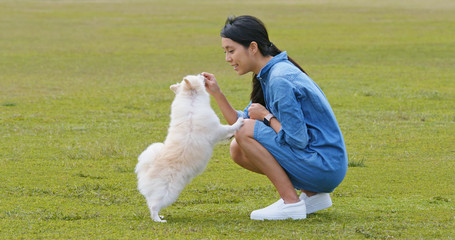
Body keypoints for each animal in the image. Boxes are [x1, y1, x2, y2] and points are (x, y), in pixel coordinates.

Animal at [134, 74, 242, 222]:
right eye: (197, 76)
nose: (203, 74)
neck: (191, 101)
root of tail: (147, 169)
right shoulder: (217, 129)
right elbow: (229, 127)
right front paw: (240, 121)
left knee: (151, 204)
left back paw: (159, 216)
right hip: (169, 192)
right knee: (154, 206)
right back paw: (159, 219)